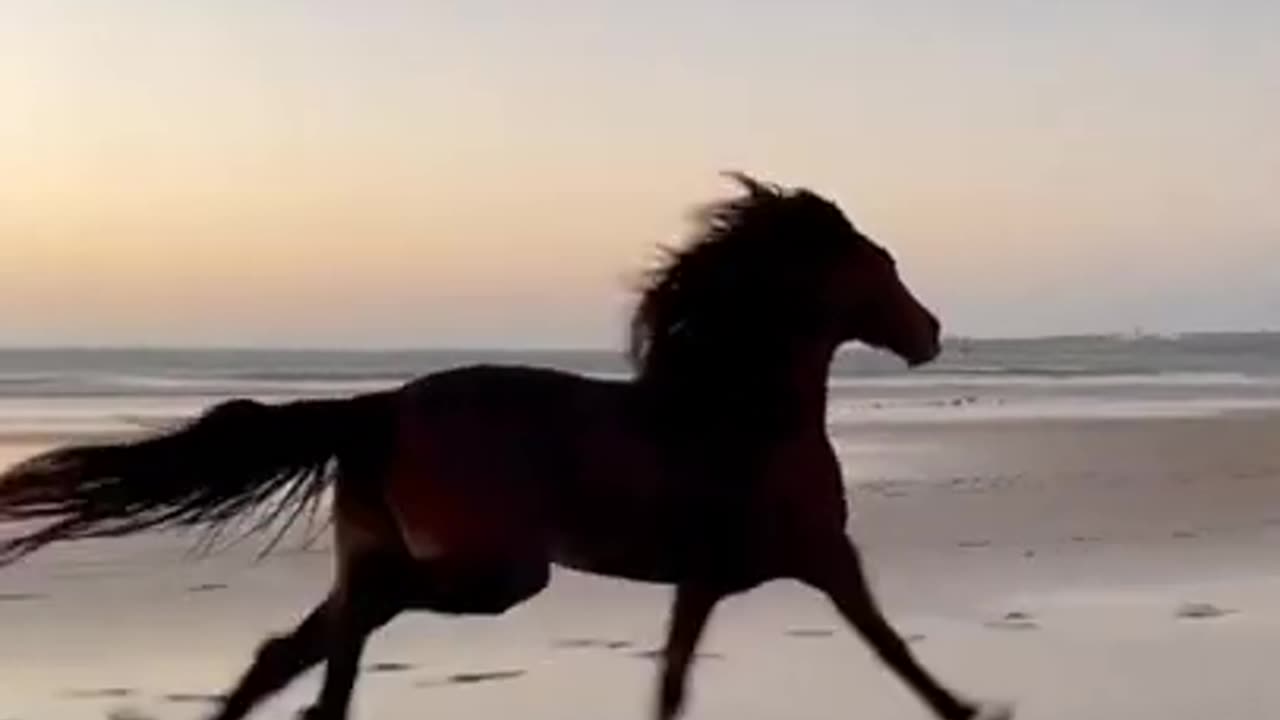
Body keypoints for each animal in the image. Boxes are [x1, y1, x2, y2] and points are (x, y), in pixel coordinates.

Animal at [0, 175, 1008, 717]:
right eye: (883, 269)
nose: (932, 334)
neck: (746, 413)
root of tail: (381, 409)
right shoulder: (823, 555)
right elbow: (891, 646)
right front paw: (970, 705)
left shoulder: (705, 580)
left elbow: (674, 680)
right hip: (498, 571)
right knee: (347, 625)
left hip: (402, 556)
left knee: (294, 649)